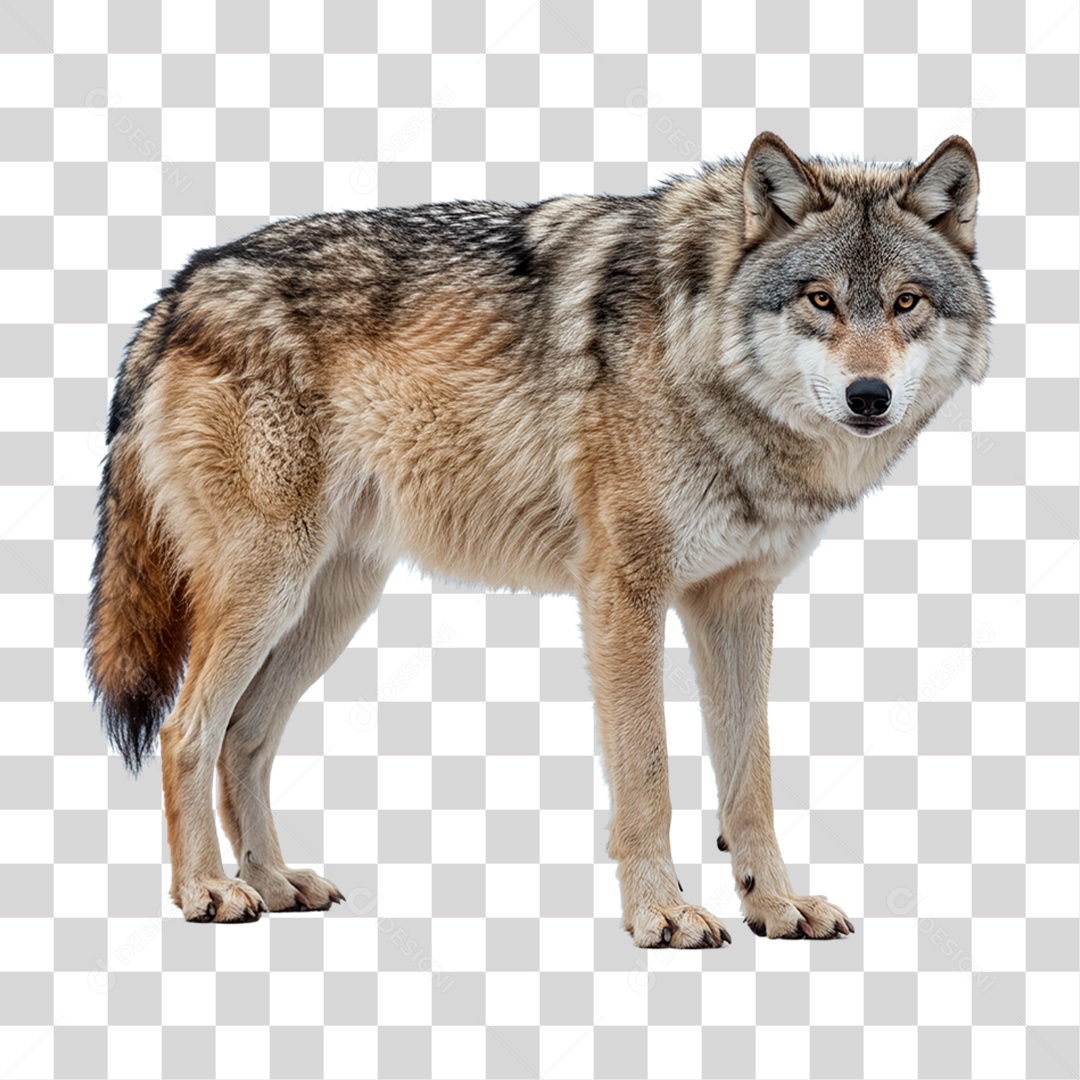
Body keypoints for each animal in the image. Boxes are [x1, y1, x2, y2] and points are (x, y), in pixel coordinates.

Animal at [87, 132, 992, 945]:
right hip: (269, 588)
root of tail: (180, 285)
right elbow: (648, 771)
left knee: (243, 739)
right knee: (185, 732)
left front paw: (774, 905)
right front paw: (662, 913)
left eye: (907, 302)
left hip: (330, 606)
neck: (701, 353)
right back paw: (207, 891)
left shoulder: (734, 601)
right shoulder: (624, 591)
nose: (869, 396)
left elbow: (751, 780)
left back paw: (273, 882)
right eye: (820, 300)